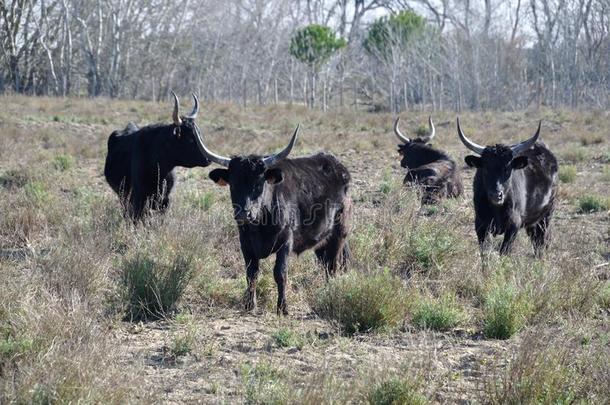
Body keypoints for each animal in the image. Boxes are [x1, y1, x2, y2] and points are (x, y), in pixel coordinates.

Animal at [192, 126, 350, 316]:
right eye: (233, 184)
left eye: (259, 184)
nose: (244, 214)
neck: (260, 225)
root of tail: (337, 165)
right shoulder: (245, 242)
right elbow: (251, 272)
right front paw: (249, 304)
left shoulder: (286, 241)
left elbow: (280, 273)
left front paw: (282, 307)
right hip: (321, 240)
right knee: (326, 264)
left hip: (338, 234)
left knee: (333, 266)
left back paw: (329, 292)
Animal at [456, 117, 556, 256]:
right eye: (485, 168)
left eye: (507, 169)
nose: (496, 195)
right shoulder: (481, 225)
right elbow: (485, 251)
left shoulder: (513, 225)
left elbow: (504, 250)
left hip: (546, 215)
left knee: (540, 241)